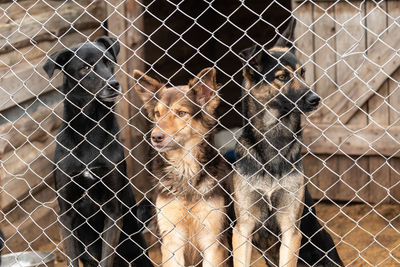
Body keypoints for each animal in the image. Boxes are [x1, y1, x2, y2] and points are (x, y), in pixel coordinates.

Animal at [43, 37, 153, 267]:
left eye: (108, 62)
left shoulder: (113, 210)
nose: (114, 84)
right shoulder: (66, 214)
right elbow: (71, 258)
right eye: (85, 68)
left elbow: (106, 257)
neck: (90, 129)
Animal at [134, 68, 231, 267]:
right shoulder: (172, 240)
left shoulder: (212, 241)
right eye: (157, 113)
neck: (185, 169)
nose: (155, 137)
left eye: (181, 112)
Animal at [231, 19, 344, 267]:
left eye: (302, 73)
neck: (274, 140)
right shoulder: (243, 228)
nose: (315, 99)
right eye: (282, 77)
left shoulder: (290, 229)